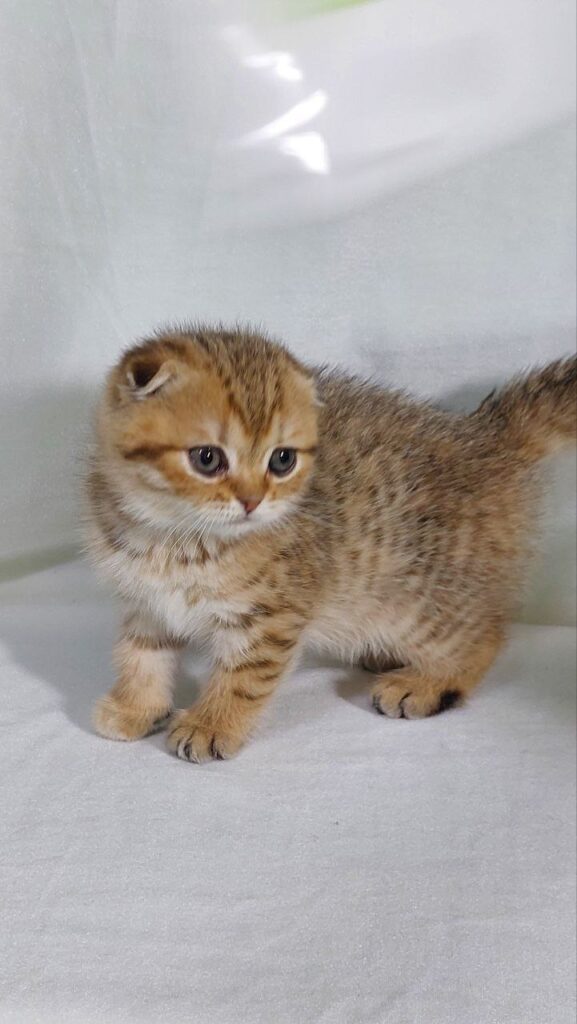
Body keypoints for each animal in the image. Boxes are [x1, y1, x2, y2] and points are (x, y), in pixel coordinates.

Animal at [87, 327, 577, 761]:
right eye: (207, 458)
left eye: (282, 460)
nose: (252, 501)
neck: (172, 537)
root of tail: (483, 436)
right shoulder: (147, 604)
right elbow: (141, 657)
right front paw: (135, 707)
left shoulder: (271, 618)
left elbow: (243, 676)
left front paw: (213, 723)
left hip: (418, 604)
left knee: (485, 636)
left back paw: (426, 683)